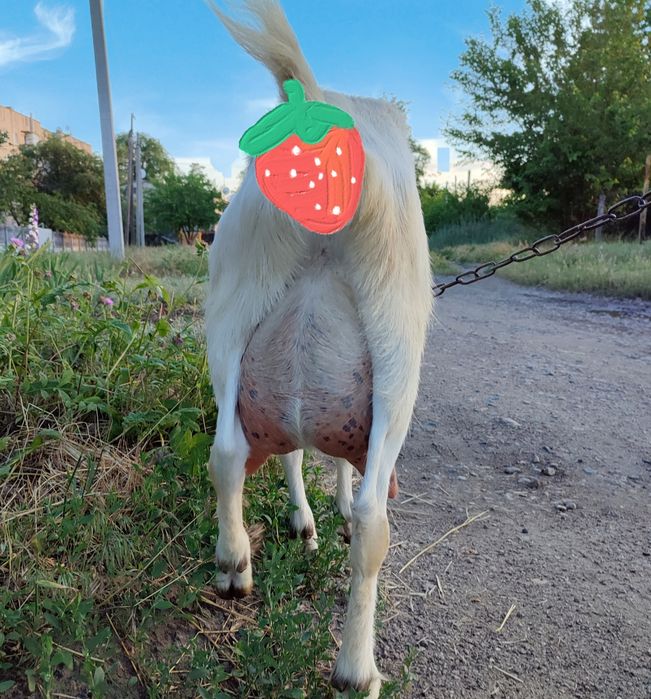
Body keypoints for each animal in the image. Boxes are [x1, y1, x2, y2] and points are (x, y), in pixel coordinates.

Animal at [204, 1, 433, 694]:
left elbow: (295, 451)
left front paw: (303, 519)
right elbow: (337, 469)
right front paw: (325, 507)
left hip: (230, 312)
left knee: (227, 453)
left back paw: (234, 565)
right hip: (397, 351)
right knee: (373, 522)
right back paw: (357, 669)